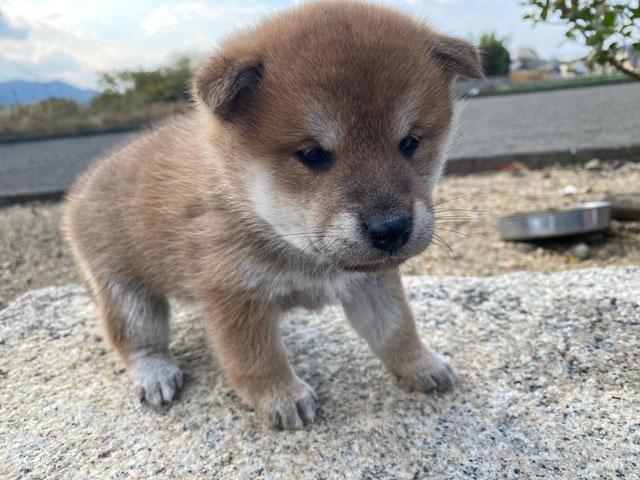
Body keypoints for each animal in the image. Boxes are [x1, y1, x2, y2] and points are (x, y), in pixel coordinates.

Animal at [63, 1, 483, 430]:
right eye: (313, 154)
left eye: (410, 143)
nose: (391, 229)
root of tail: (82, 186)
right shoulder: (234, 295)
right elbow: (257, 360)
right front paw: (282, 398)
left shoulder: (371, 282)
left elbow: (397, 330)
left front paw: (421, 365)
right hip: (125, 294)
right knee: (137, 342)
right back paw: (156, 374)